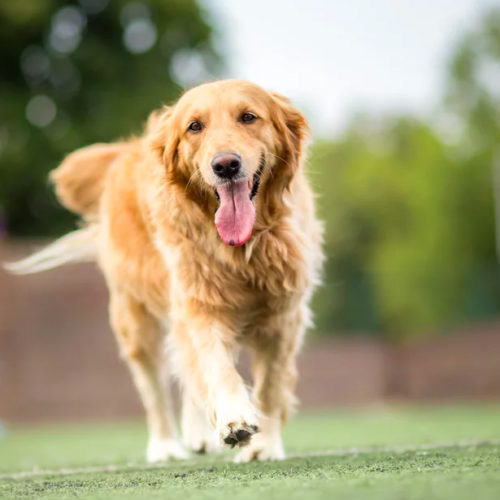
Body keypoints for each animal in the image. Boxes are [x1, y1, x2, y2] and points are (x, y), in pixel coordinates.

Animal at [9, 80, 326, 462]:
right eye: (195, 126)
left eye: (249, 117)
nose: (225, 165)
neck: (242, 248)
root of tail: (127, 149)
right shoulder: (200, 304)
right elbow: (216, 366)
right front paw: (234, 417)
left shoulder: (284, 316)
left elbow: (271, 386)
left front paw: (263, 446)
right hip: (135, 321)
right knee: (155, 389)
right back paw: (166, 447)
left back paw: (200, 436)